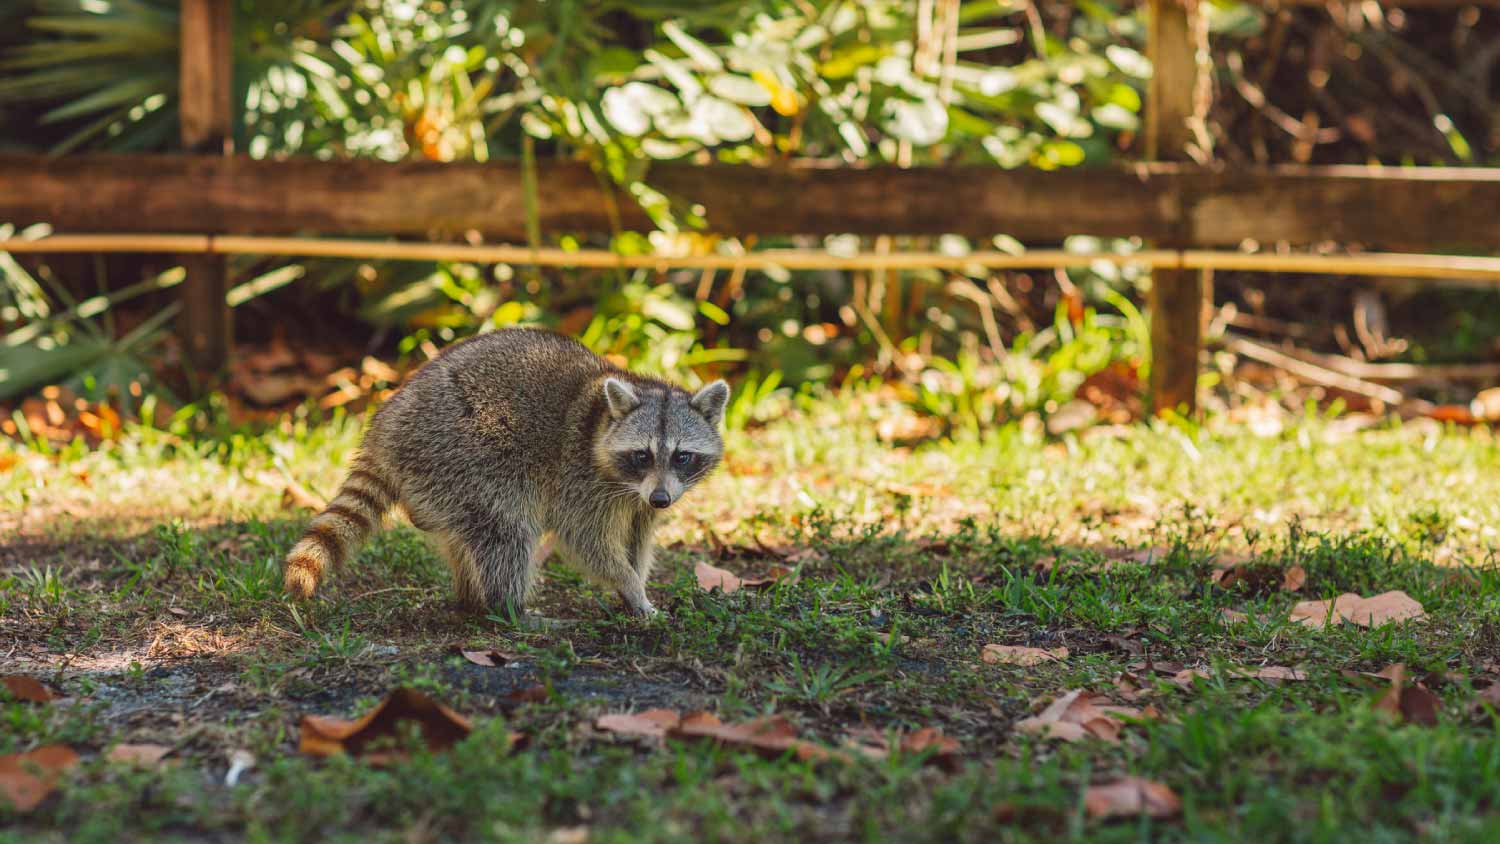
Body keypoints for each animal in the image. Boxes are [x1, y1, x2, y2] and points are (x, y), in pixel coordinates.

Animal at [283, 329, 729, 620]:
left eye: (683, 457)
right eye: (641, 454)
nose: (661, 499)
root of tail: (385, 427)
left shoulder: (643, 498)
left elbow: (637, 538)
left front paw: (634, 586)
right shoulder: (581, 478)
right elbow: (585, 540)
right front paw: (630, 586)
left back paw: (471, 599)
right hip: (460, 452)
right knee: (507, 530)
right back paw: (510, 609)